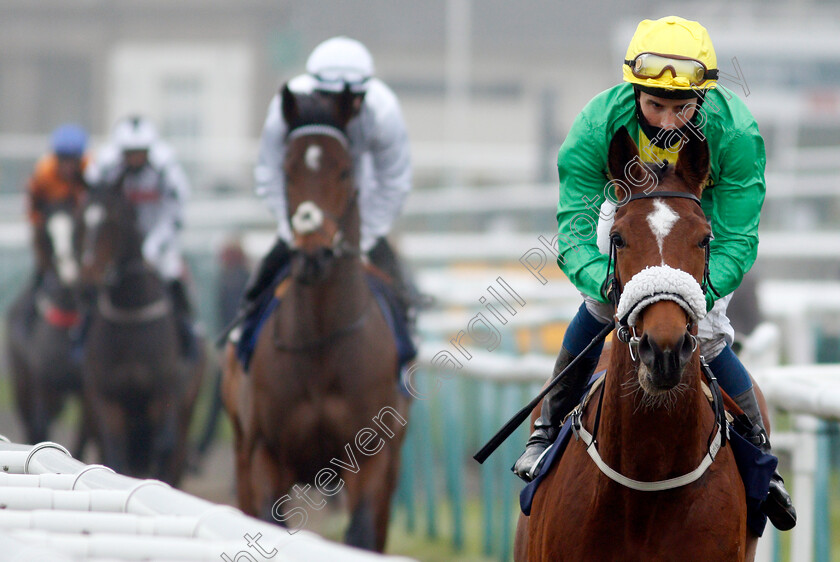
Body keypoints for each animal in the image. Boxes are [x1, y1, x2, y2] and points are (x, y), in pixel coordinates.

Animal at [6, 199, 84, 444]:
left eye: (77, 227)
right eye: (46, 236)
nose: (69, 270)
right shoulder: (42, 386)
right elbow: (40, 427)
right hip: (23, 384)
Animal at [80, 184, 203, 482]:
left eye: (113, 218)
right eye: (82, 218)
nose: (88, 279)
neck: (129, 316)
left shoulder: (162, 394)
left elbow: (163, 447)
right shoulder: (107, 400)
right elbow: (115, 453)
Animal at [221, 85, 408, 548]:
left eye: (343, 170)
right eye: (288, 170)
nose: (313, 257)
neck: (322, 340)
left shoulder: (373, 455)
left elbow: (361, 533)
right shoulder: (266, 453)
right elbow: (266, 521)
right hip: (241, 448)